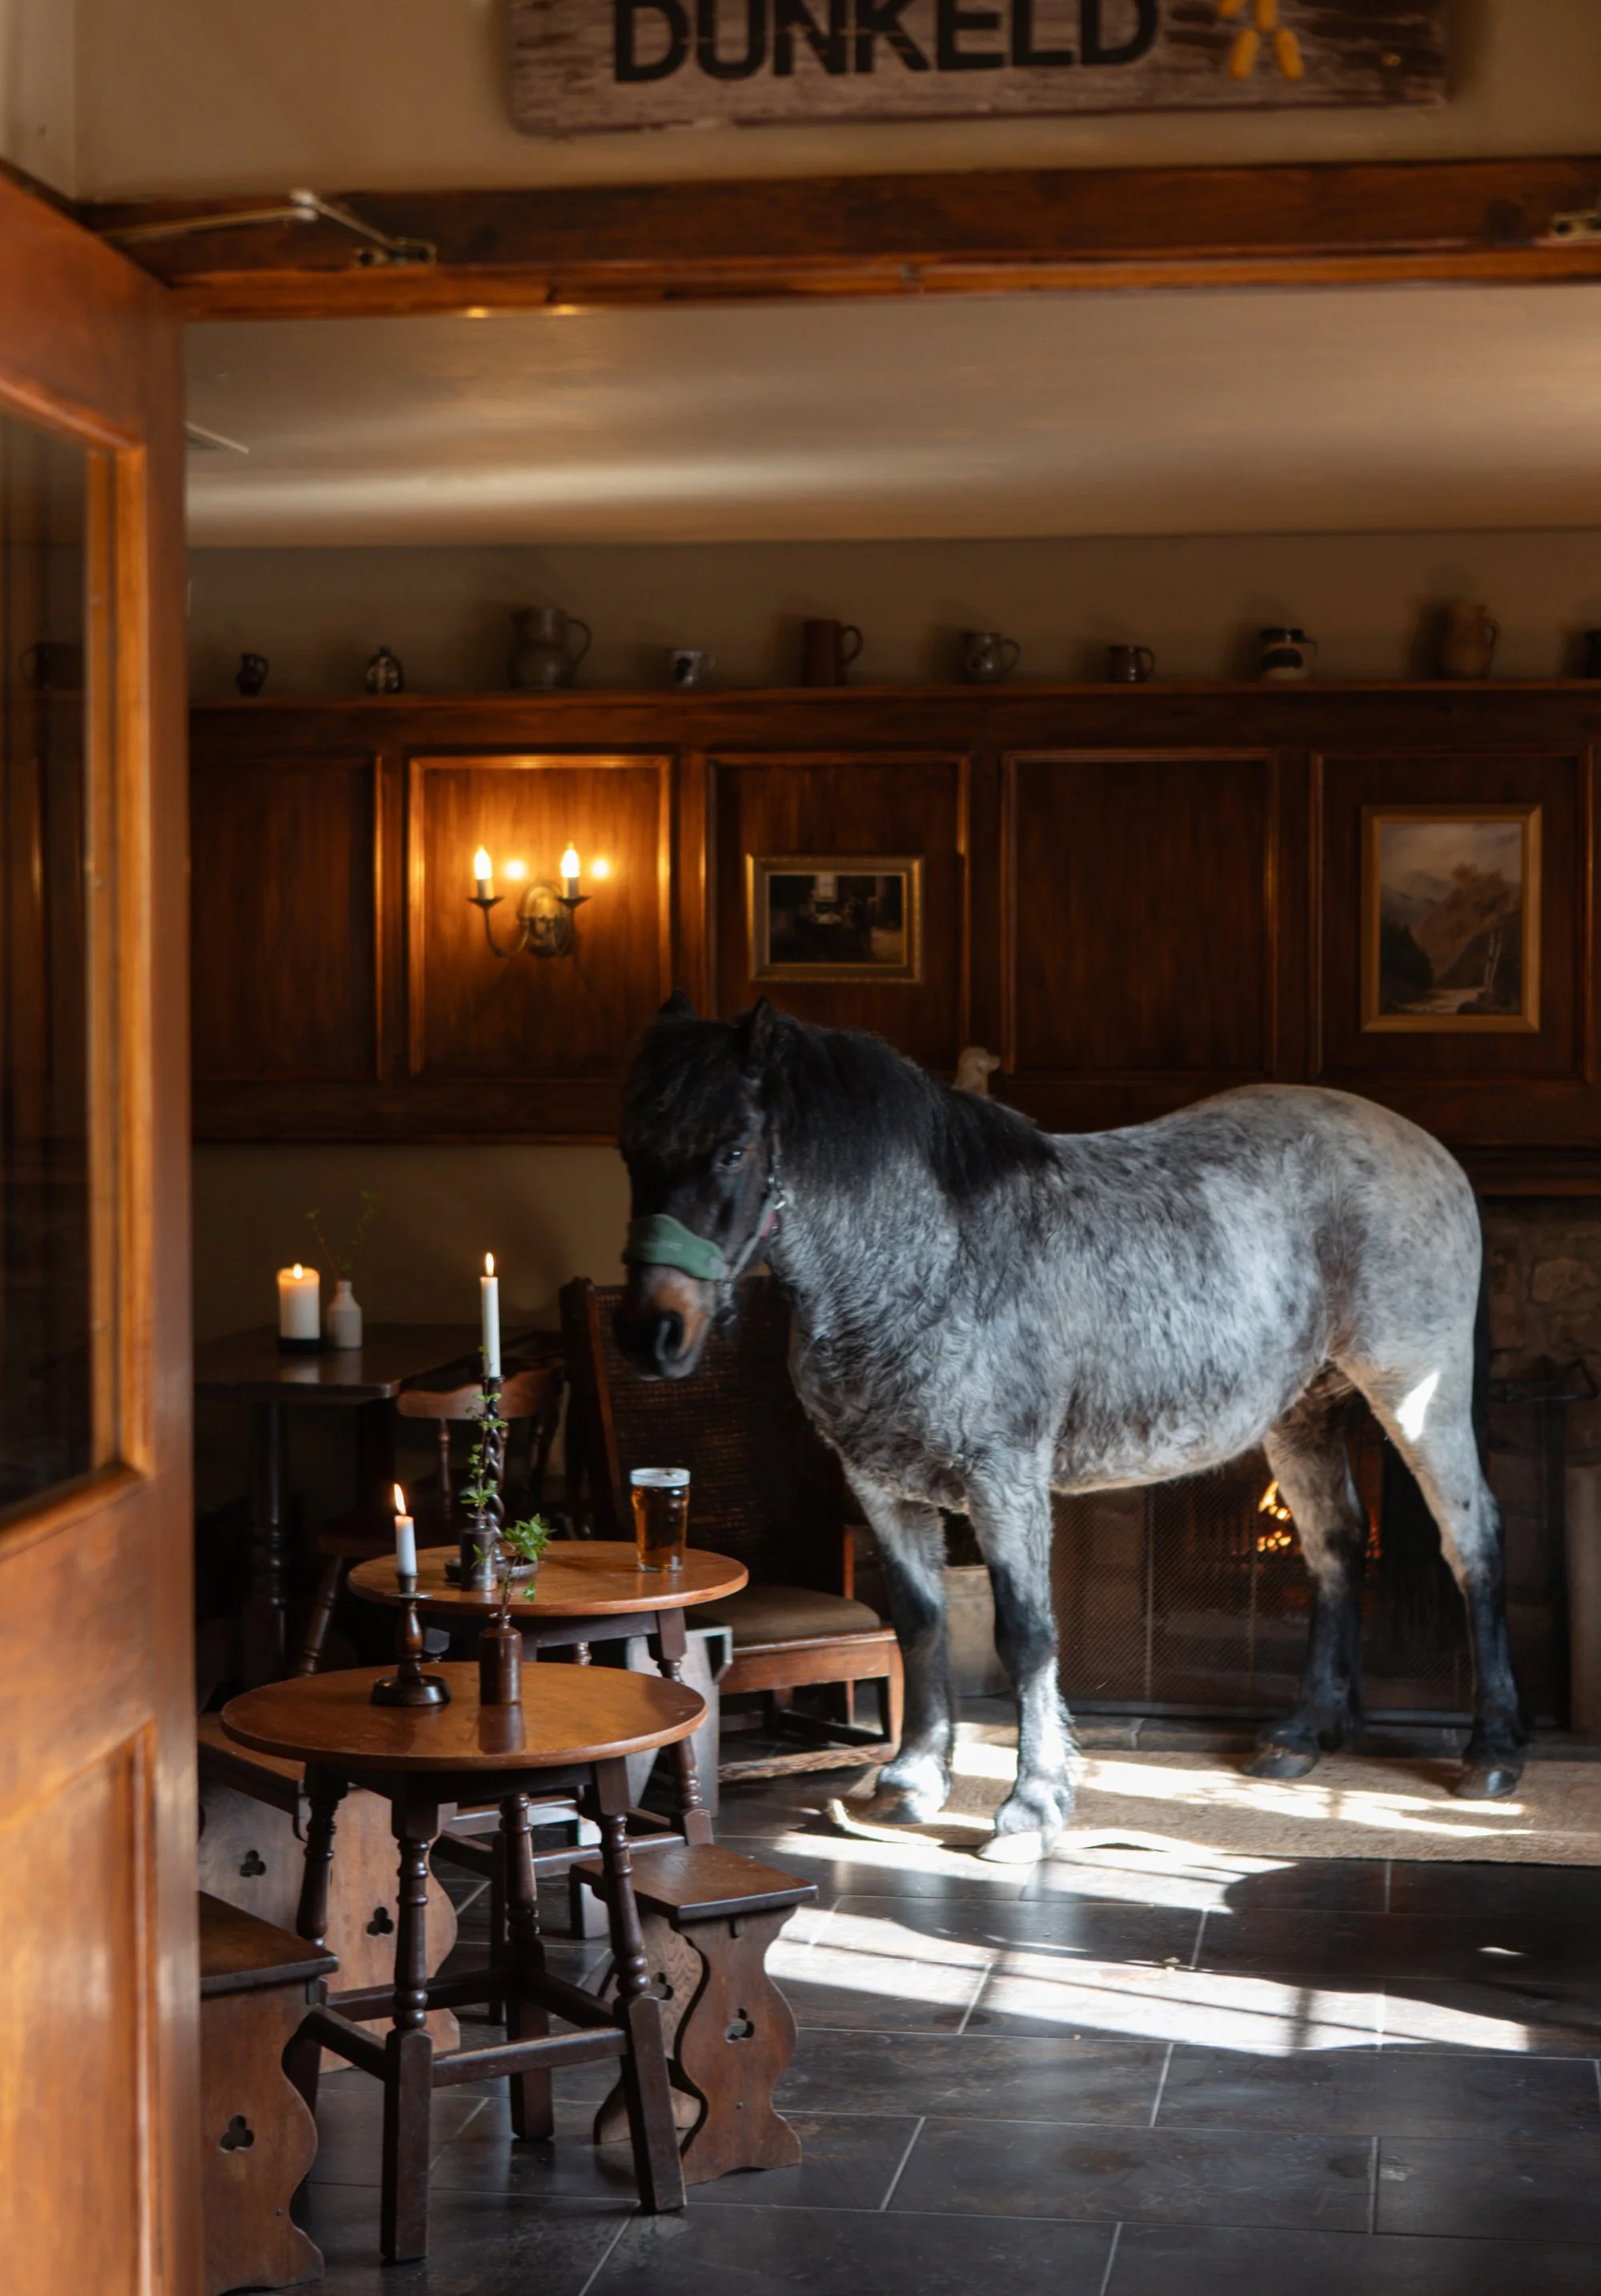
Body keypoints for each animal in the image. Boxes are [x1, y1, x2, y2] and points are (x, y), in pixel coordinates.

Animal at [613, 994, 1525, 1862]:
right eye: (631, 1150)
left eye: (733, 1150)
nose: (651, 1332)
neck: (931, 1255)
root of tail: (1428, 1150)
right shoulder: (881, 1488)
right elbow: (918, 1621)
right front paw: (911, 1784)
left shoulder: (1005, 1482)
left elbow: (1027, 1635)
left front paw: (1032, 1807)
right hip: (1301, 1415)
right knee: (1333, 1545)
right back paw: (1303, 1733)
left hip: (1417, 1396)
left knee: (1473, 1541)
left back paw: (1492, 1752)